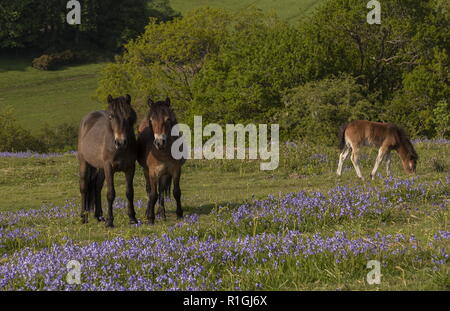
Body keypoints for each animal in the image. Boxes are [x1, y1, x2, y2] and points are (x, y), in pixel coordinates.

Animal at [77, 94, 138, 228]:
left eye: (129, 116)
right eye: (111, 116)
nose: (120, 142)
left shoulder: (130, 167)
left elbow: (130, 192)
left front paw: (132, 218)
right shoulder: (109, 167)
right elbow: (110, 194)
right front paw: (110, 221)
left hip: (100, 168)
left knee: (97, 187)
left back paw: (99, 216)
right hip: (84, 163)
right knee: (84, 188)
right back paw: (84, 217)